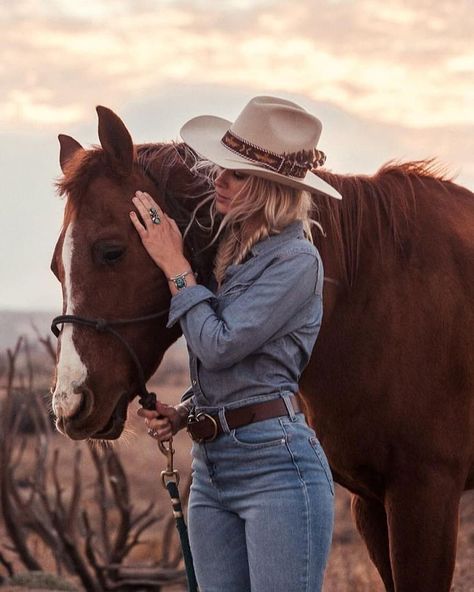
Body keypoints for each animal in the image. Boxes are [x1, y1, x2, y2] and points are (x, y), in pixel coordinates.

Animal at [51, 107, 474, 592]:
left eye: (111, 251)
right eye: (55, 266)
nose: (69, 404)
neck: (374, 291)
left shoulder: (424, 494)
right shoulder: (370, 502)